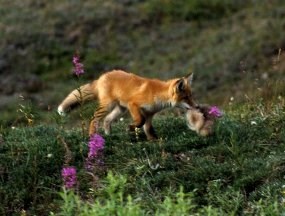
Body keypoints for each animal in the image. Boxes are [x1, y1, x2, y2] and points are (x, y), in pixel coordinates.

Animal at [57, 69, 195, 140]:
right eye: (186, 97)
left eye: (191, 96)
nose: (196, 106)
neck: (158, 95)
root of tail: (101, 77)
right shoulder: (133, 104)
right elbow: (140, 121)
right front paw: (130, 128)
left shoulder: (149, 114)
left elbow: (148, 128)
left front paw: (153, 141)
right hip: (108, 105)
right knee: (94, 118)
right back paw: (92, 136)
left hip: (120, 109)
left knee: (107, 120)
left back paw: (109, 135)